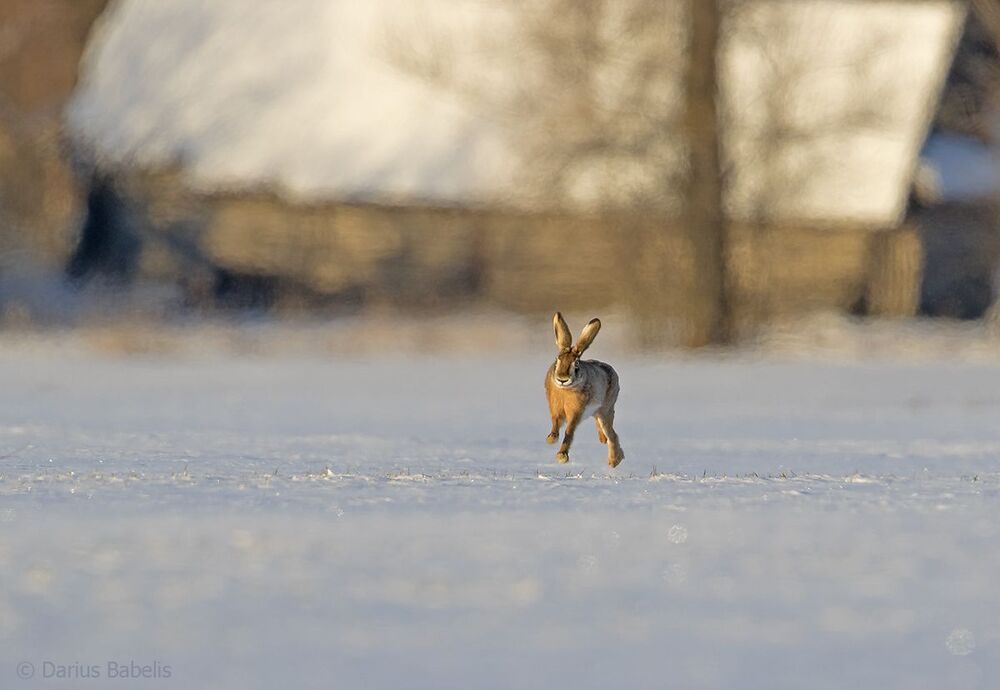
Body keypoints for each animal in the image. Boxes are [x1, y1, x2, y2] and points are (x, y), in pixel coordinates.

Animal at [545, 312, 624, 467]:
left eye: (576, 365)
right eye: (557, 360)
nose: (562, 379)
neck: (565, 390)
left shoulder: (576, 412)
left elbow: (569, 432)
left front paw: (562, 456)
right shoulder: (555, 408)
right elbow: (555, 423)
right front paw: (551, 438)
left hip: (605, 409)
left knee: (612, 434)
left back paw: (614, 461)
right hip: (598, 412)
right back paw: (604, 442)